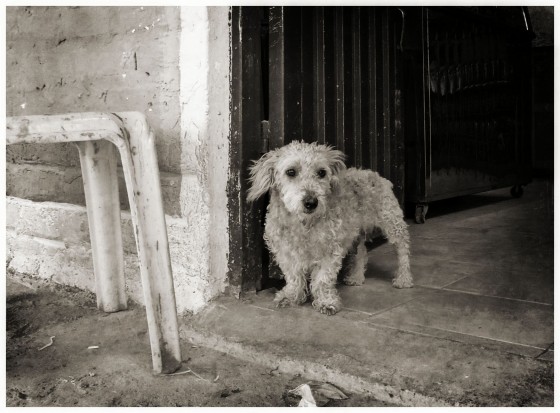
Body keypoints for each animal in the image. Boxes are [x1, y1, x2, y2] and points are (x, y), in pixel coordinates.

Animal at [247, 140, 414, 314]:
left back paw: (403, 278)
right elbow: (293, 276)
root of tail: (374, 174)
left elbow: (323, 278)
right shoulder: (285, 251)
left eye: (321, 172)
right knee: (361, 252)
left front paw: (326, 302)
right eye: (290, 172)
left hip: (392, 223)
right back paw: (356, 277)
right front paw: (291, 296)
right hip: (354, 233)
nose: (311, 202)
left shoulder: (330, 249)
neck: (304, 224)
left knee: (403, 251)